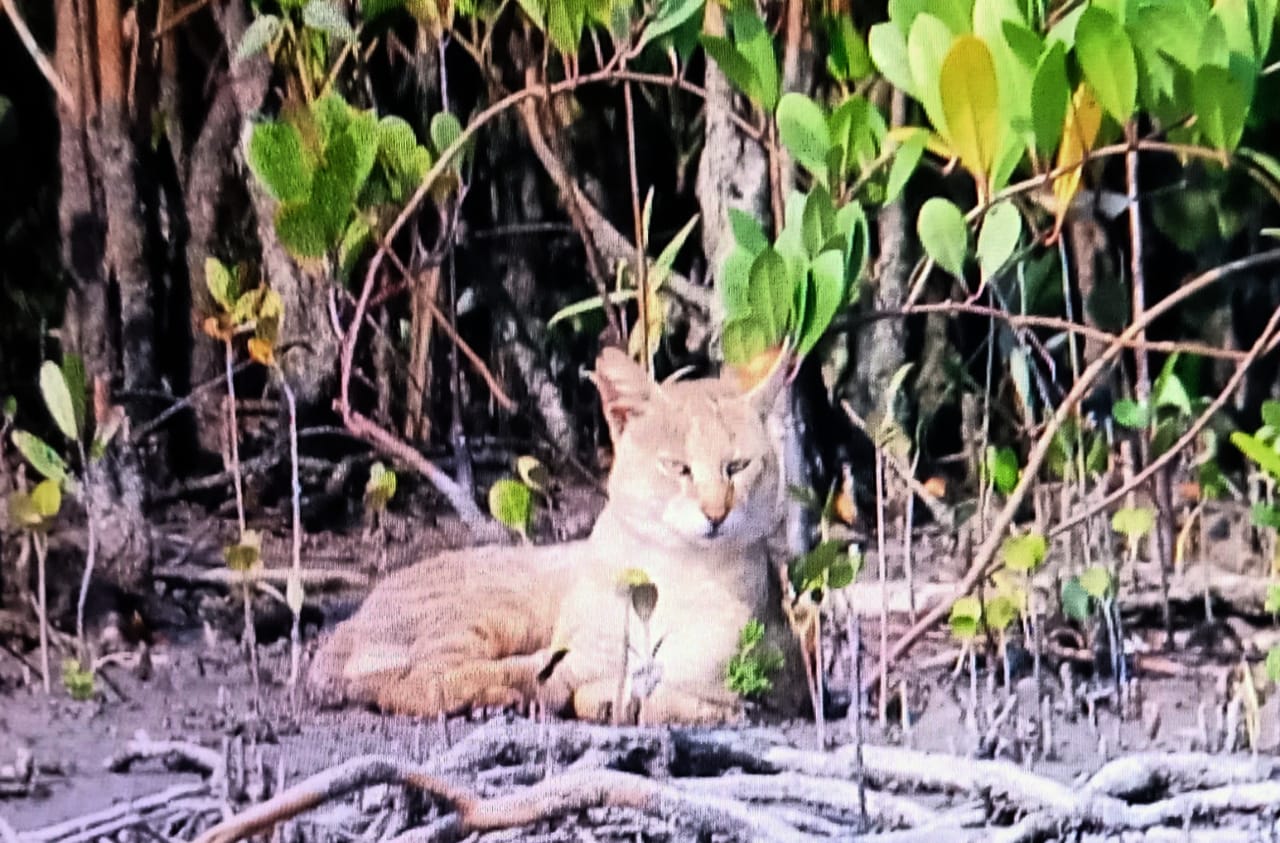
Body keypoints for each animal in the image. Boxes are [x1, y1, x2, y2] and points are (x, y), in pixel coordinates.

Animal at [307, 347, 808, 726]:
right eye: (677, 467)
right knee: (415, 679)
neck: (670, 571)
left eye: (737, 467)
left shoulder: (746, 669)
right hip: (497, 609)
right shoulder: (573, 654)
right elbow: (535, 674)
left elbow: (685, 689)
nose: (716, 513)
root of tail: (349, 623)